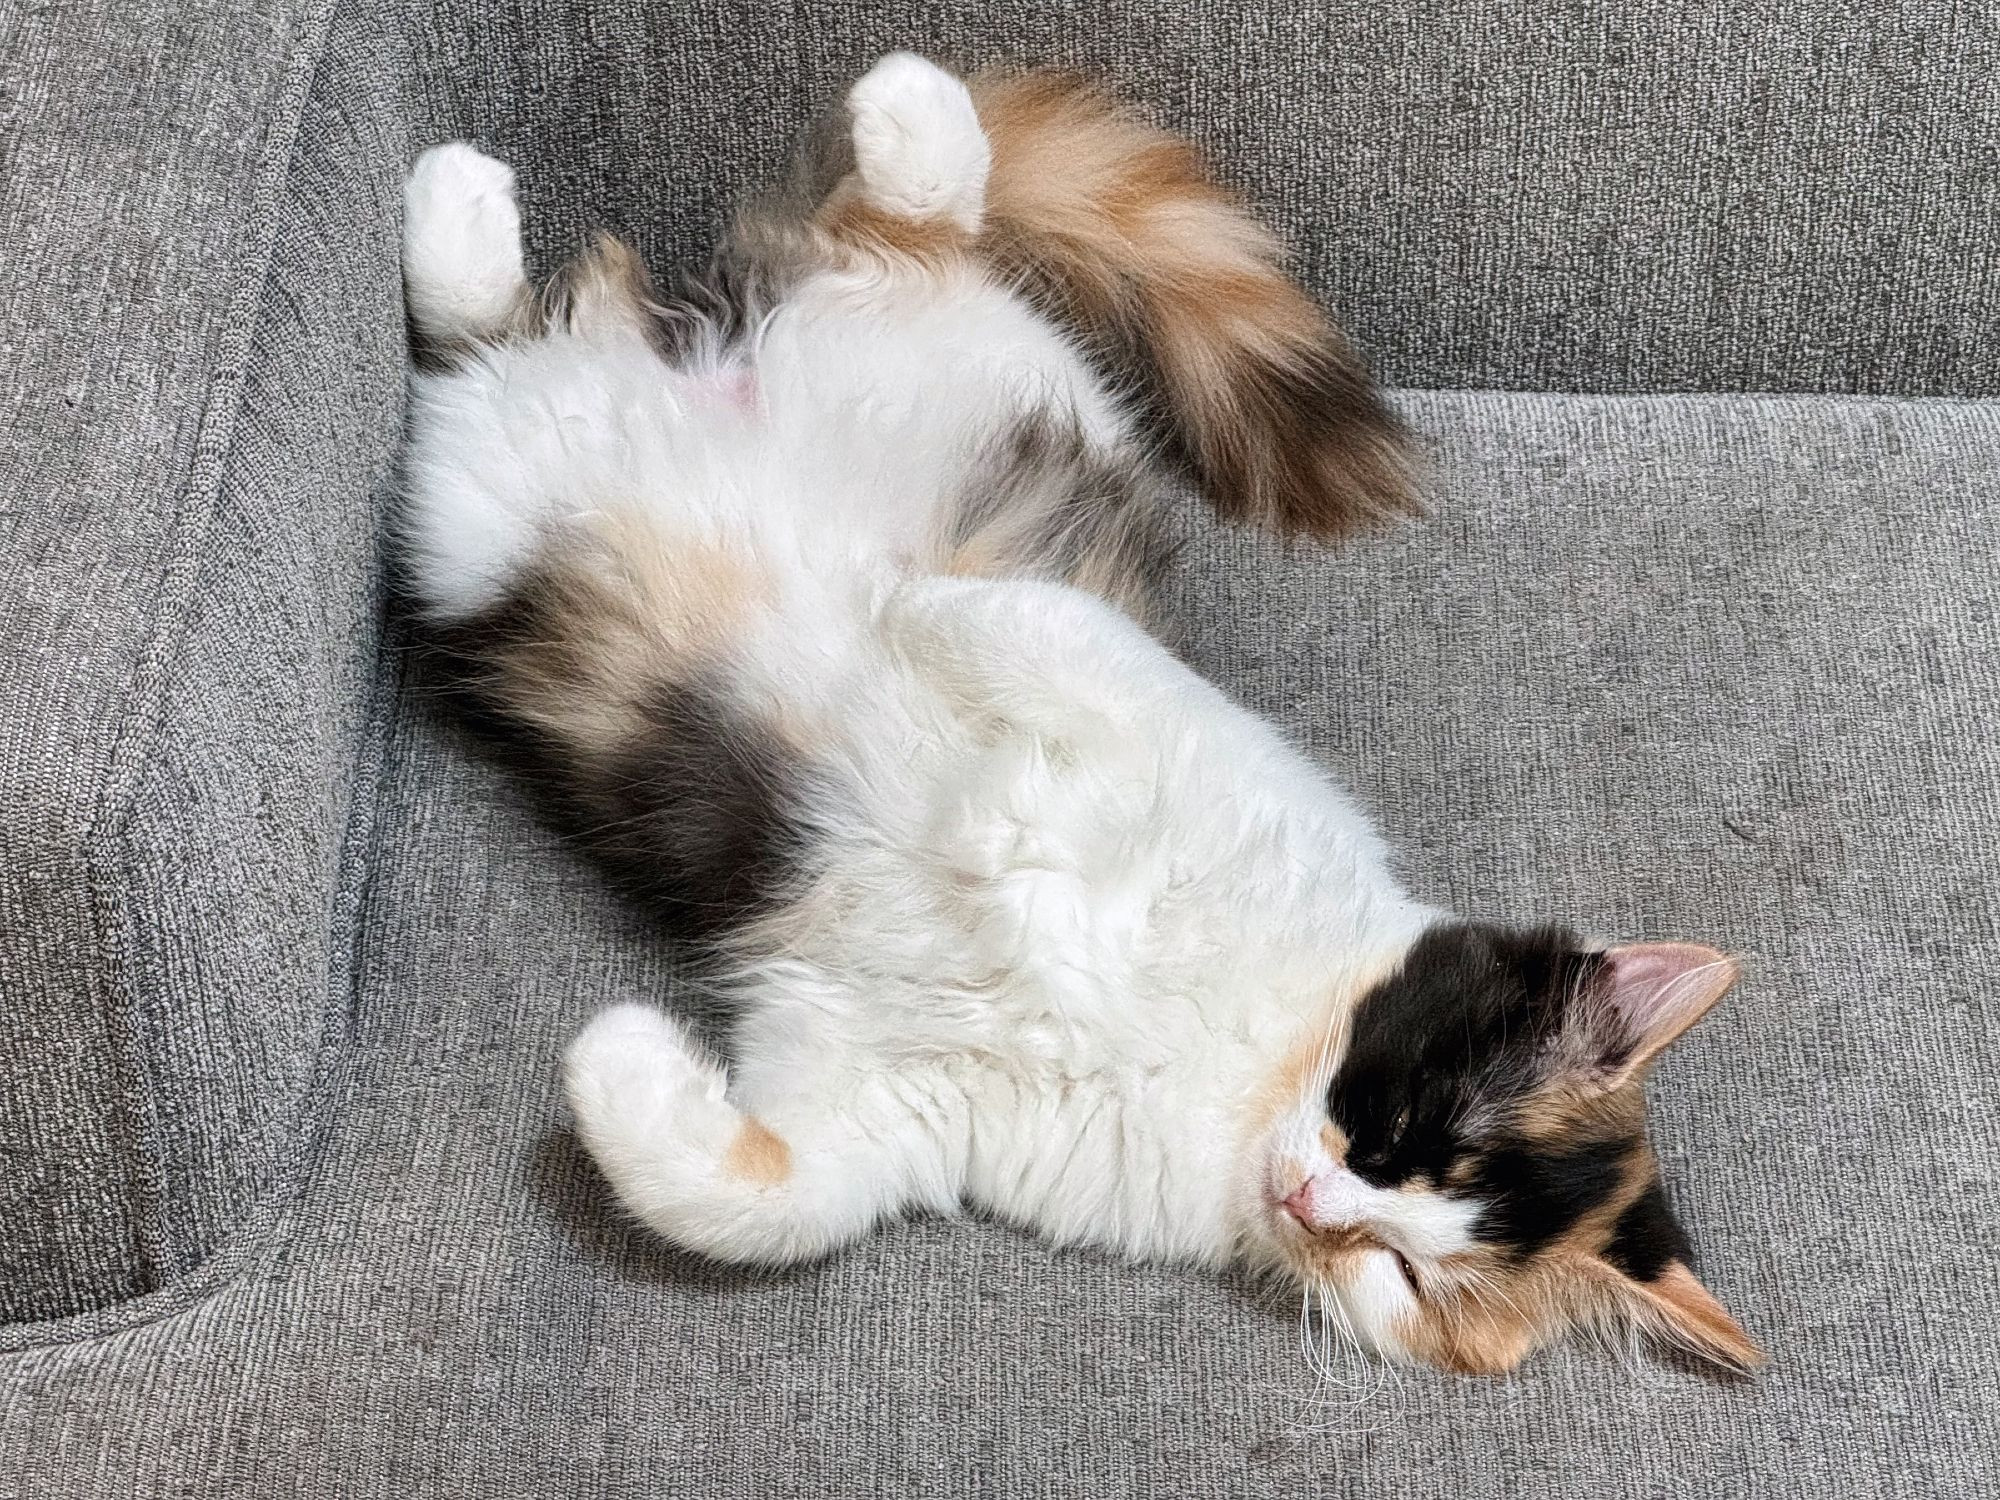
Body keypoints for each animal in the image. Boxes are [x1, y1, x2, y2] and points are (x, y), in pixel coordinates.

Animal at [398, 55, 1760, 1376]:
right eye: (1399, 1131)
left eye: (1408, 1272)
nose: (1315, 1204)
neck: (1231, 1064)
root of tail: (698, 368)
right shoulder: (1148, 703)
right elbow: (1011, 621)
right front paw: (895, 605)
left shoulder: (895, 1094)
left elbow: (755, 1203)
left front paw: (617, 1058)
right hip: (947, 379)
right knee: (887, 237)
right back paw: (858, 127)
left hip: (481, 506)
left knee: (496, 346)